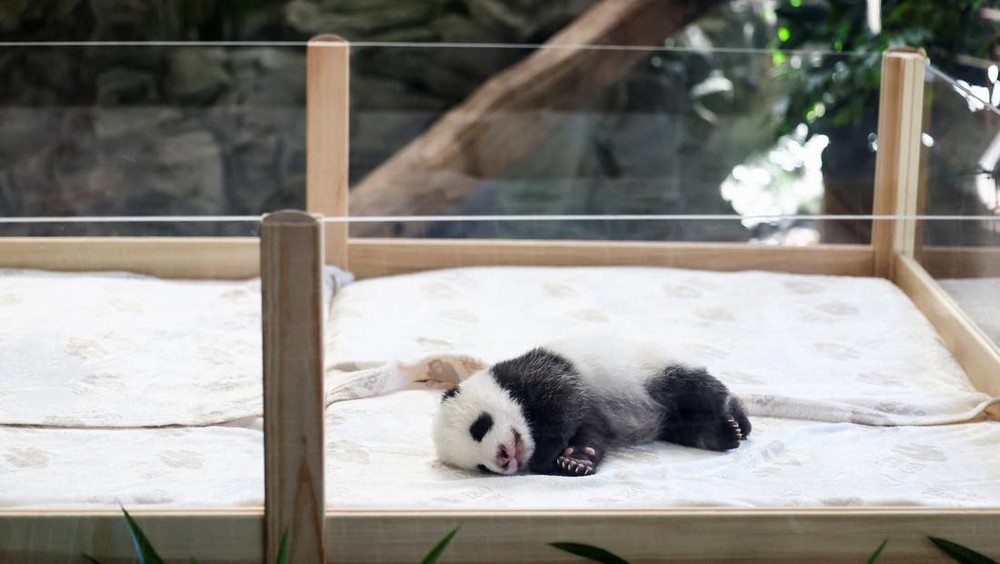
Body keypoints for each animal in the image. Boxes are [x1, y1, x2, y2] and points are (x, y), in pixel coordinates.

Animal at [432, 336, 751, 476]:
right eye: (481, 467)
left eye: (479, 427)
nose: (503, 459)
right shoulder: (594, 418)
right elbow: (591, 435)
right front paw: (574, 461)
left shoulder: (537, 374)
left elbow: (564, 399)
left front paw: (546, 457)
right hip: (671, 419)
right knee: (689, 426)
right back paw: (722, 434)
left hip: (653, 371)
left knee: (698, 390)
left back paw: (738, 421)